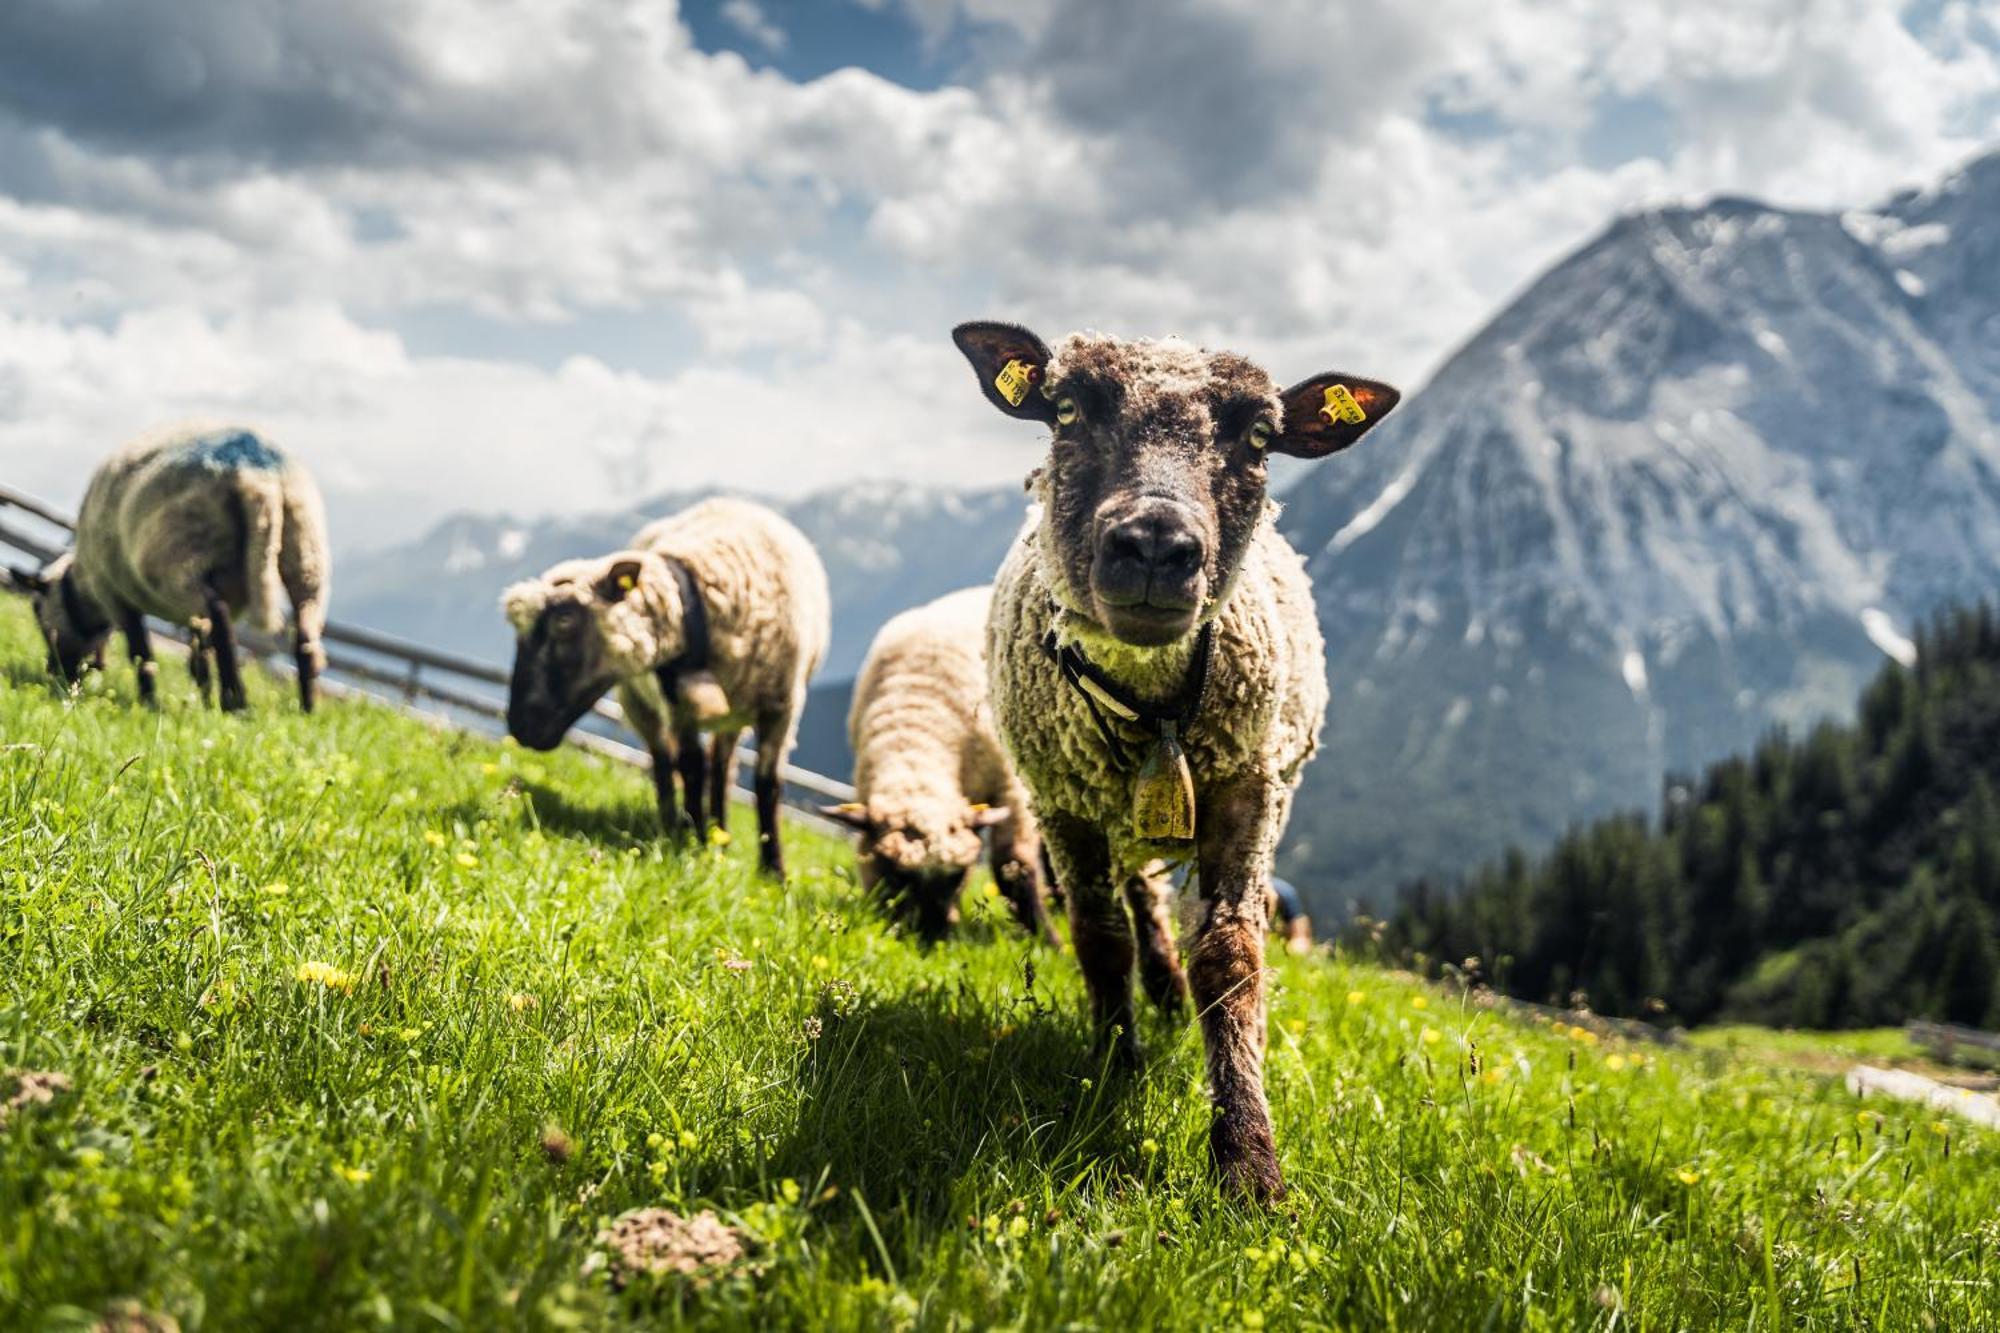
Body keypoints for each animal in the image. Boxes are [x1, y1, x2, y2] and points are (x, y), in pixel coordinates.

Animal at [14, 420, 332, 712]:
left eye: (38, 610)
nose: (55, 671)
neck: (85, 589)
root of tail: (257, 474)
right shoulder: (189, 615)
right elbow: (198, 653)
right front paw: (203, 697)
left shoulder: (117, 593)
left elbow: (141, 653)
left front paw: (148, 701)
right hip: (305, 552)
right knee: (305, 638)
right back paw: (306, 708)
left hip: (183, 556)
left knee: (219, 616)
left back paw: (235, 702)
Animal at [516, 492, 836, 876]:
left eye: (564, 621)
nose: (519, 727)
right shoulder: (678, 706)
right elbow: (690, 764)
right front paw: (694, 841)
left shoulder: (782, 706)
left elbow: (767, 784)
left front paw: (773, 870)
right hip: (639, 703)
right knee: (663, 761)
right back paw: (673, 823)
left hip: (734, 713)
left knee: (722, 767)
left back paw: (721, 833)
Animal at [816, 584, 1064, 944]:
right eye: (895, 874)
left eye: (956, 876)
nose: (928, 935)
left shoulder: (1010, 787)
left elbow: (1012, 865)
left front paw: (1049, 942)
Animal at [956, 320, 1408, 1192]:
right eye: (1066, 407)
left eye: (1261, 436)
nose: (1156, 544)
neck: (1154, 707)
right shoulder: (1062, 802)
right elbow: (1100, 936)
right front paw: (1113, 1066)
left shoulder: (1248, 789)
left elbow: (1231, 957)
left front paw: (1249, 1161)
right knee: (1137, 897)